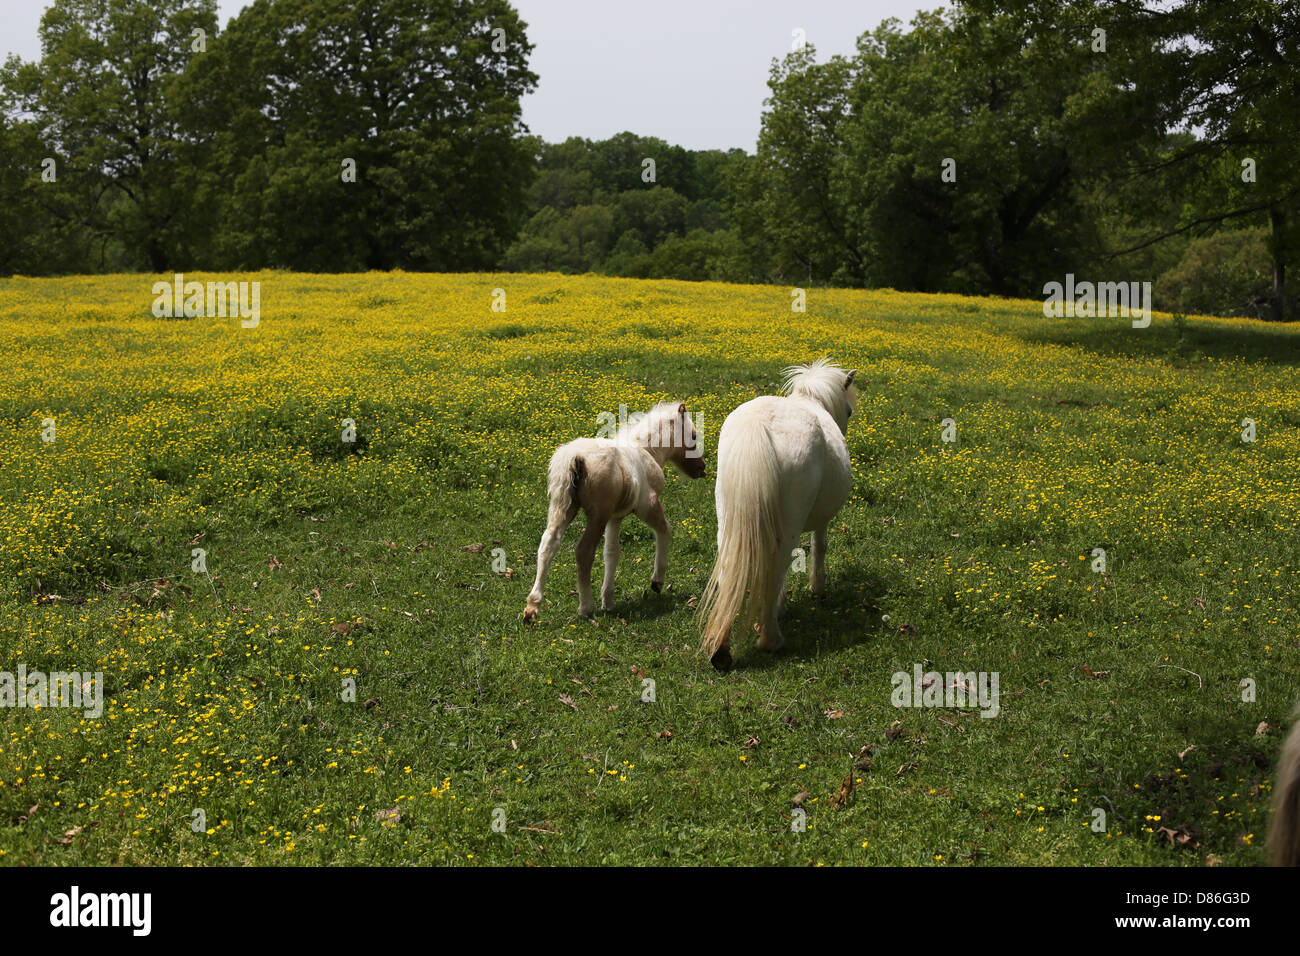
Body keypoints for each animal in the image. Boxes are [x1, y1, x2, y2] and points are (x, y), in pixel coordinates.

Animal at [524, 402, 706, 621]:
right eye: (694, 436)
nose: (702, 468)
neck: (647, 450)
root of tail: (574, 458)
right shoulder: (647, 505)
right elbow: (665, 530)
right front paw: (657, 582)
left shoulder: (616, 517)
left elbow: (611, 552)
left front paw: (608, 601)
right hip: (597, 515)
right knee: (583, 551)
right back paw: (586, 607)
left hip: (562, 507)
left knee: (548, 543)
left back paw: (532, 606)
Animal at [698, 359, 858, 670]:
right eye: (848, 410)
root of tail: (757, 426)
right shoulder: (821, 521)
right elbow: (819, 547)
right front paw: (816, 588)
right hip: (788, 527)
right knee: (776, 569)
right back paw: (771, 640)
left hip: (728, 520)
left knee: (728, 569)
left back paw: (722, 648)